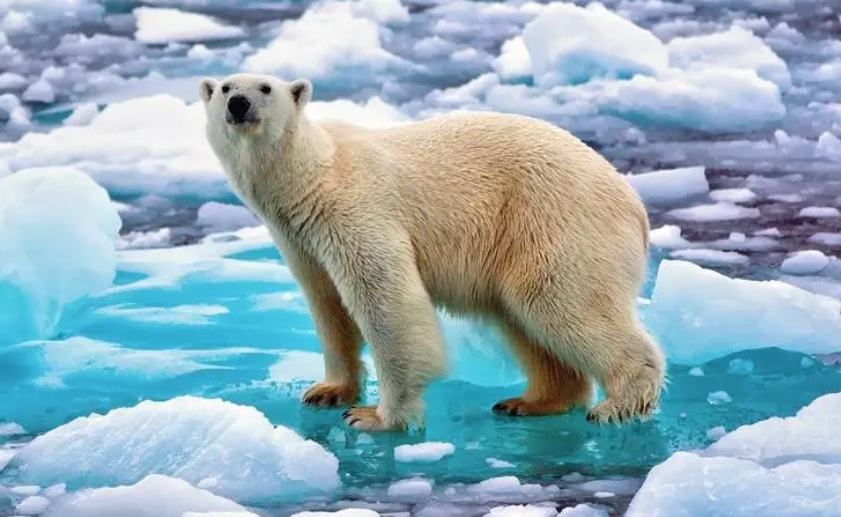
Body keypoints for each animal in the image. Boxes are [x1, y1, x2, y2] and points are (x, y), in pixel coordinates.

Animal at [199, 72, 665, 432]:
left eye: (265, 87)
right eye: (225, 87)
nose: (239, 104)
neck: (313, 174)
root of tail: (634, 204)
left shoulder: (355, 210)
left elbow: (387, 301)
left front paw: (376, 417)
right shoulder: (300, 239)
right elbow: (328, 307)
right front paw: (327, 391)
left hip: (555, 220)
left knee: (559, 300)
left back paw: (616, 405)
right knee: (523, 318)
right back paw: (530, 401)